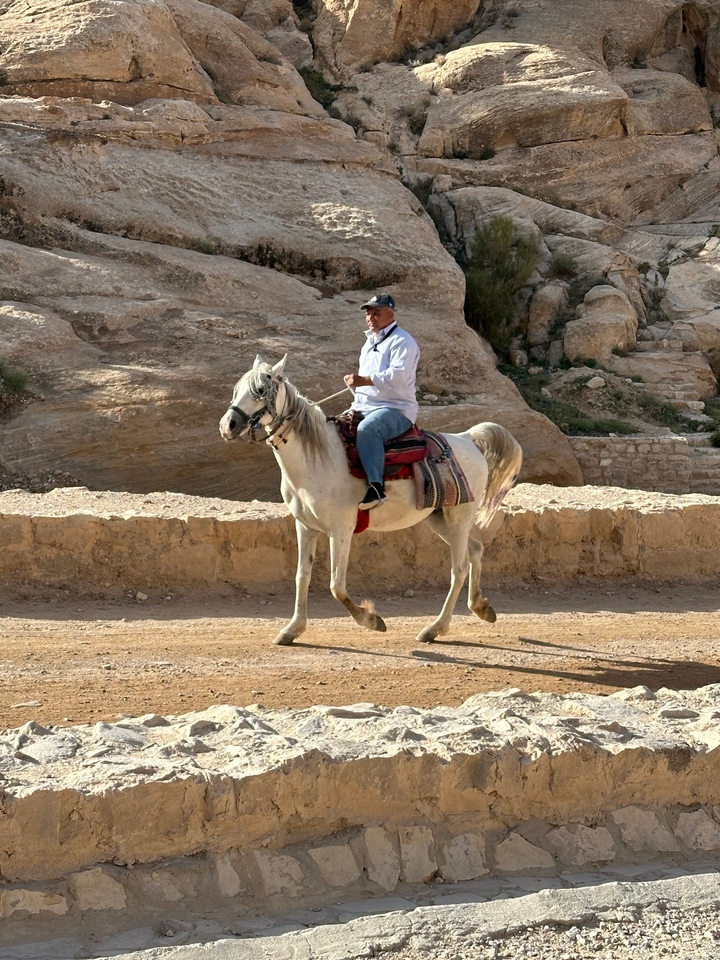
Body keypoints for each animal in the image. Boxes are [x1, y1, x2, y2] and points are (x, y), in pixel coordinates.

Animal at [219, 354, 522, 646]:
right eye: (236, 388)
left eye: (260, 389)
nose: (228, 425)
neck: (319, 458)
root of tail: (468, 438)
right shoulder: (306, 527)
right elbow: (302, 577)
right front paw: (292, 630)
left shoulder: (341, 530)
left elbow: (336, 585)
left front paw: (371, 620)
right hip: (440, 521)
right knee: (476, 550)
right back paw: (481, 607)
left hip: (458, 520)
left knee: (458, 569)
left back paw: (434, 629)